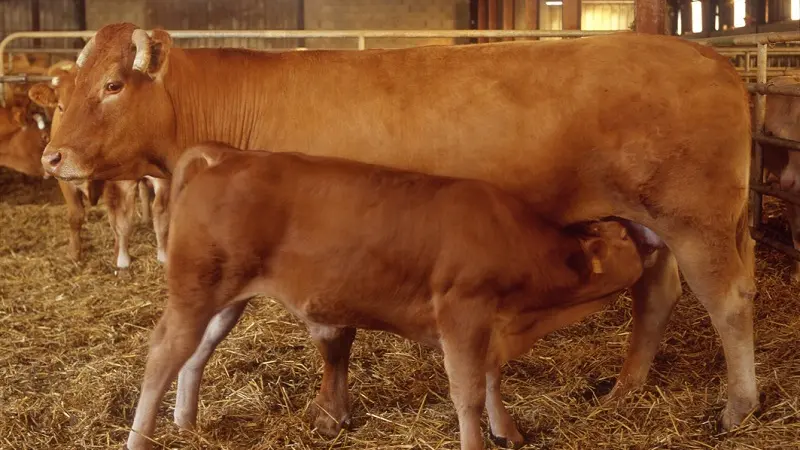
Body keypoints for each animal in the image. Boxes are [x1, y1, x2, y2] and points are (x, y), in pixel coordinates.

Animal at [126, 142, 644, 450]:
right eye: (623, 237)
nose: (650, 238)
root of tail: (227, 156)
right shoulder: (463, 312)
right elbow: (468, 392)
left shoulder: (488, 325)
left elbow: (492, 379)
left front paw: (509, 432)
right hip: (194, 290)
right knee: (162, 354)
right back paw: (140, 437)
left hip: (225, 296)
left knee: (194, 355)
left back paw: (185, 423)